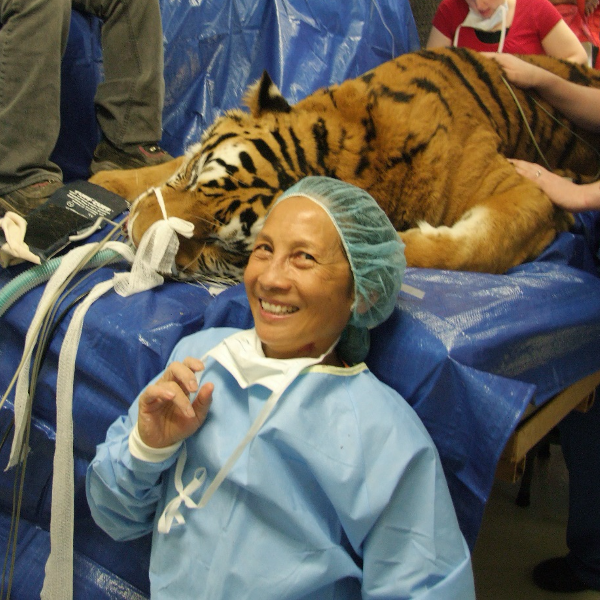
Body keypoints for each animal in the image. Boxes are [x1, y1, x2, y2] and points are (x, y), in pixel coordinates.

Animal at [89, 46, 600, 282]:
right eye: (195, 178)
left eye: (225, 246)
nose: (134, 234)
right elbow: (161, 166)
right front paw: (105, 179)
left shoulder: (528, 189)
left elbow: (477, 245)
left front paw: (398, 243)